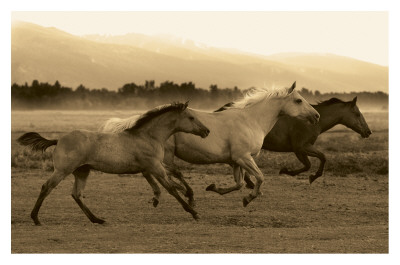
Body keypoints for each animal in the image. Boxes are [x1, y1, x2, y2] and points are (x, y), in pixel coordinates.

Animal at [17, 102, 209, 224]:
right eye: (191, 117)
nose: (206, 131)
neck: (149, 136)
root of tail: (58, 140)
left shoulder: (154, 166)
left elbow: (174, 179)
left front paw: (189, 197)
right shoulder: (154, 166)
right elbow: (171, 189)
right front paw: (194, 212)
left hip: (82, 171)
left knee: (76, 194)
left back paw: (97, 219)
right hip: (63, 170)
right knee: (46, 187)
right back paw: (36, 218)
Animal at [216, 95, 372, 184]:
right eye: (357, 114)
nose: (368, 131)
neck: (312, 121)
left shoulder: (301, 149)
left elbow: (310, 163)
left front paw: (290, 172)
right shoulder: (300, 147)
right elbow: (320, 158)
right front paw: (309, 176)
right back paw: (249, 182)